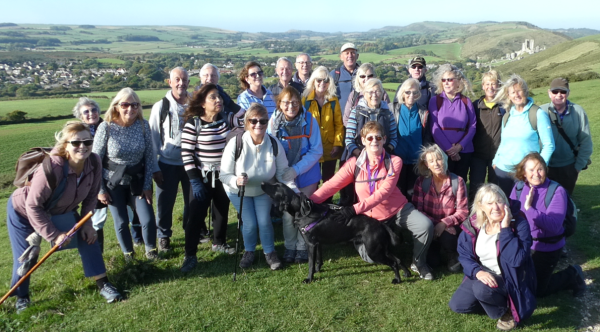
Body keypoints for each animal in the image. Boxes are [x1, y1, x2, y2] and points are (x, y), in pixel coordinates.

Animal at [262, 182, 412, 282]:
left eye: (276, 186)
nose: (263, 183)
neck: (303, 210)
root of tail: (380, 224)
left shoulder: (310, 244)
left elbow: (310, 263)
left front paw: (309, 278)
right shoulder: (318, 244)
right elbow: (318, 260)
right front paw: (318, 270)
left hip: (374, 251)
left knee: (393, 263)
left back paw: (397, 280)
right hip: (380, 248)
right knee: (397, 259)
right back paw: (407, 273)